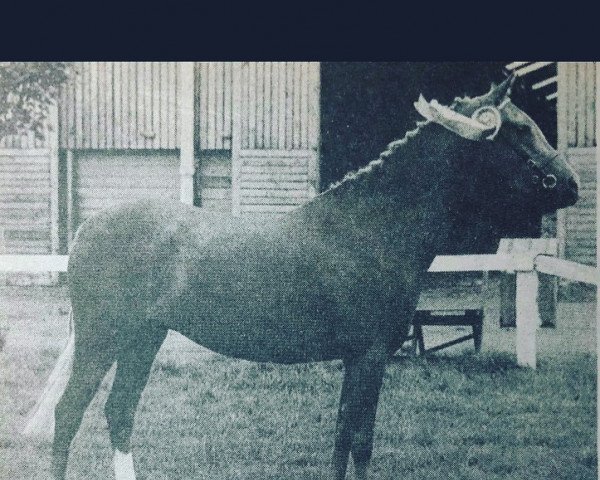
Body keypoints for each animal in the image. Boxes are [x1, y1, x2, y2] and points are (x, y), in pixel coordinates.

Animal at [25, 75, 580, 480]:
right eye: (520, 130)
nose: (571, 185)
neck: (372, 227)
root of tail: (88, 229)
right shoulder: (370, 356)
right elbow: (361, 439)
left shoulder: (357, 359)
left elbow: (342, 436)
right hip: (103, 339)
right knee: (69, 414)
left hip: (144, 339)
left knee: (119, 413)